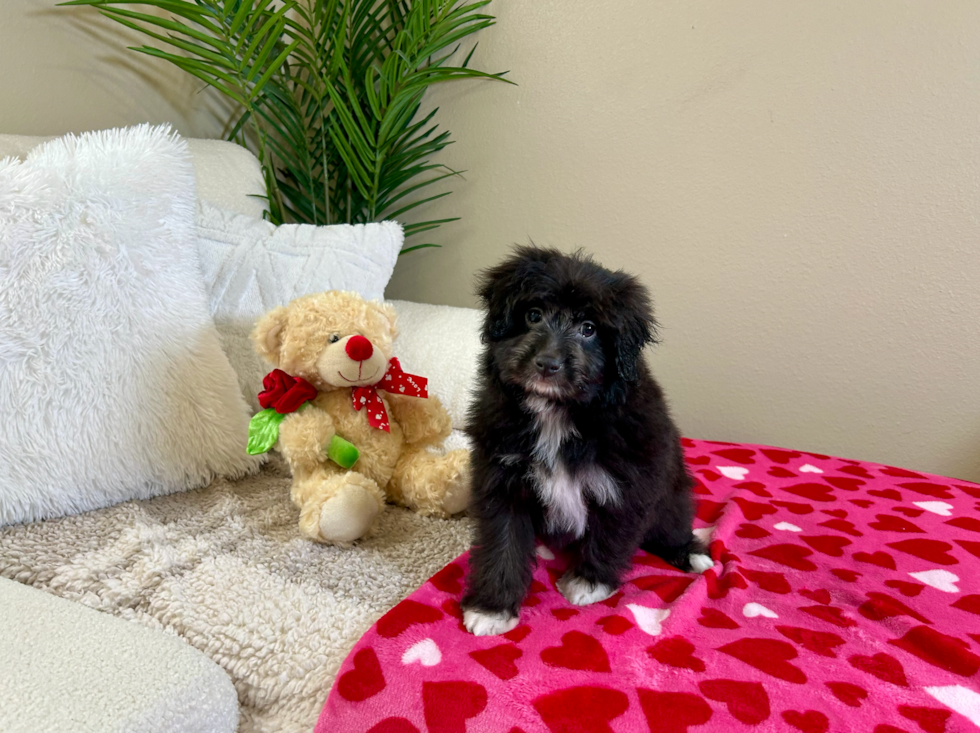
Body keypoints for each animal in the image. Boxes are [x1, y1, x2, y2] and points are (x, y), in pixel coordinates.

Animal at [464, 246, 708, 636]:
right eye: (533, 315)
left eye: (589, 329)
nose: (547, 363)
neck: (557, 412)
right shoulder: (501, 478)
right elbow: (503, 541)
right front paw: (492, 608)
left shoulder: (628, 482)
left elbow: (611, 533)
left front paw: (588, 582)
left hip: (672, 497)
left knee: (671, 527)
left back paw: (691, 552)